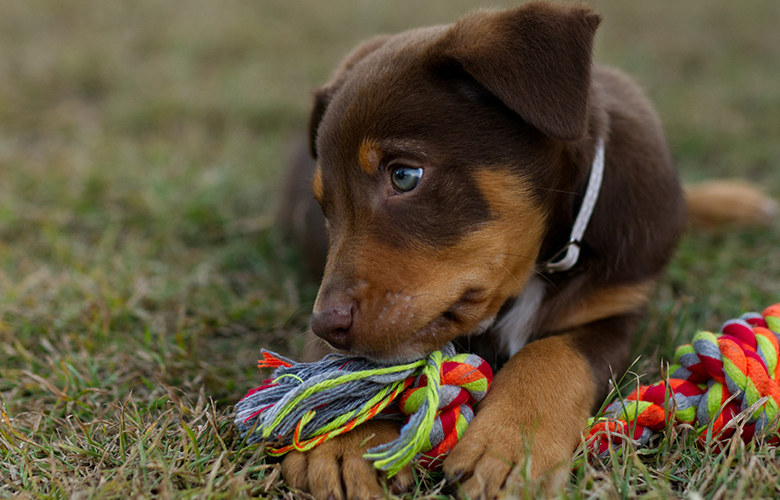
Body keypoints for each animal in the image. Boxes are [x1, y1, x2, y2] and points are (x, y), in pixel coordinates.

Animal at [276, 1, 772, 498]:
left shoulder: (615, 311)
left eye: (404, 176)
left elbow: (551, 354)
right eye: (325, 208)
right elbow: (328, 368)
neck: (543, 261)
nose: (327, 325)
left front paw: (511, 447)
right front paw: (340, 442)